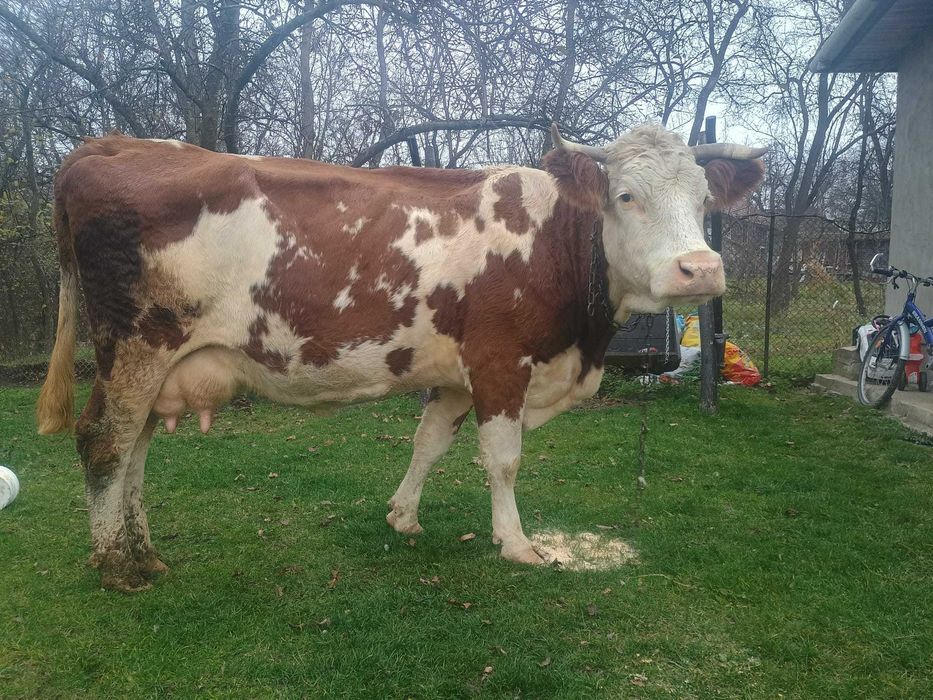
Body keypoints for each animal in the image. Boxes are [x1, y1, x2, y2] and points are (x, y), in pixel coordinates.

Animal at [36, 124, 765, 591]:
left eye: (704, 199)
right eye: (625, 196)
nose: (699, 270)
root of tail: (112, 144)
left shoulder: (456, 373)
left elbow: (429, 442)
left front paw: (403, 515)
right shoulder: (500, 362)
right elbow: (502, 460)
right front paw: (516, 544)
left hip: (155, 364)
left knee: (134, 450)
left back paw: (141, 552)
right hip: (136, 345)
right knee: (105, 442)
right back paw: (117, 567)